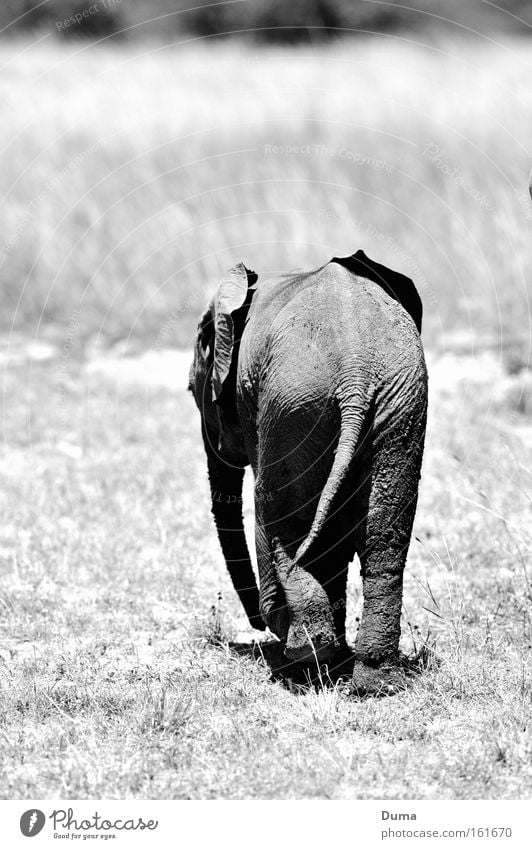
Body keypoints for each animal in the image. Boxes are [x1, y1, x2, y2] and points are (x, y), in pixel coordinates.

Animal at [189, 250, 426, 696]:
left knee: (284, 522)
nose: (255, 625)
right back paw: (373, 680)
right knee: (383, 539)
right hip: (397, 406)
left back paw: (303, 660)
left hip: (295, 408)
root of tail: (356, 374)